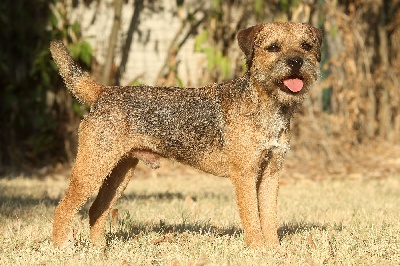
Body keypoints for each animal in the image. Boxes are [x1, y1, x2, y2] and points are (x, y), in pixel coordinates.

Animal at [50, 21, 324, 248]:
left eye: (306, 46)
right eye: (273, 47)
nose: (296, 61)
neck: (265, 105)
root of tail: (104, 92)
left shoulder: (271, 173)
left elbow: (268, 218)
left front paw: (274, 250)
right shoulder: (245, 174)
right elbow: (252, 218)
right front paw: (258, 250)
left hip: (119, 171)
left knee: (97, 210)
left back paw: (100, 251)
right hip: (91, 169)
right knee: (63, 209)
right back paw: (63, 248)